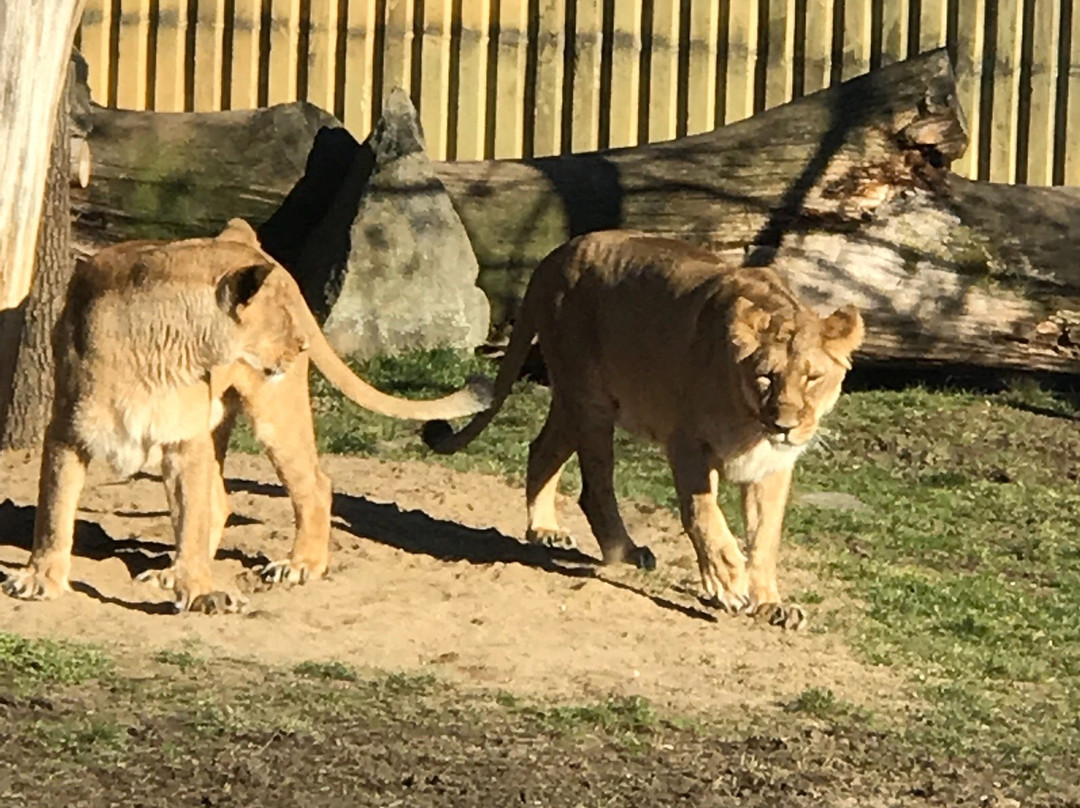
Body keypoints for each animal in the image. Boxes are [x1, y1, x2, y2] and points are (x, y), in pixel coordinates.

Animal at [3, 219, 490, 613]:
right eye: (281, 315)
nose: (302, 345)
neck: (166, 353)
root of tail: (237, 237)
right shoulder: (67, 431)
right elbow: (54, 512)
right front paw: (40, 578)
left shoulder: (185, 442)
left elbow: (190, 518)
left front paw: (201, 592)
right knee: (221, 501)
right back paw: (172, 572)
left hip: (273, 412)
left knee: (314, 484)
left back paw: (300, 565)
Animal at [425, 230, 864, 626]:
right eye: (766, 377)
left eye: (812, 378)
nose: (785, 425)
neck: (752, 424)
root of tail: (556, 256)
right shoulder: (687, 443)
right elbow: (703, 515)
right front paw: (727, 583)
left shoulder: (771, 466)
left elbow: (765, 536)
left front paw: (770, 604)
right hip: (591, 403)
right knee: (594, 487)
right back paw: (625, 550)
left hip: (573, 401)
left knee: (543, 449)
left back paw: (545, 529)